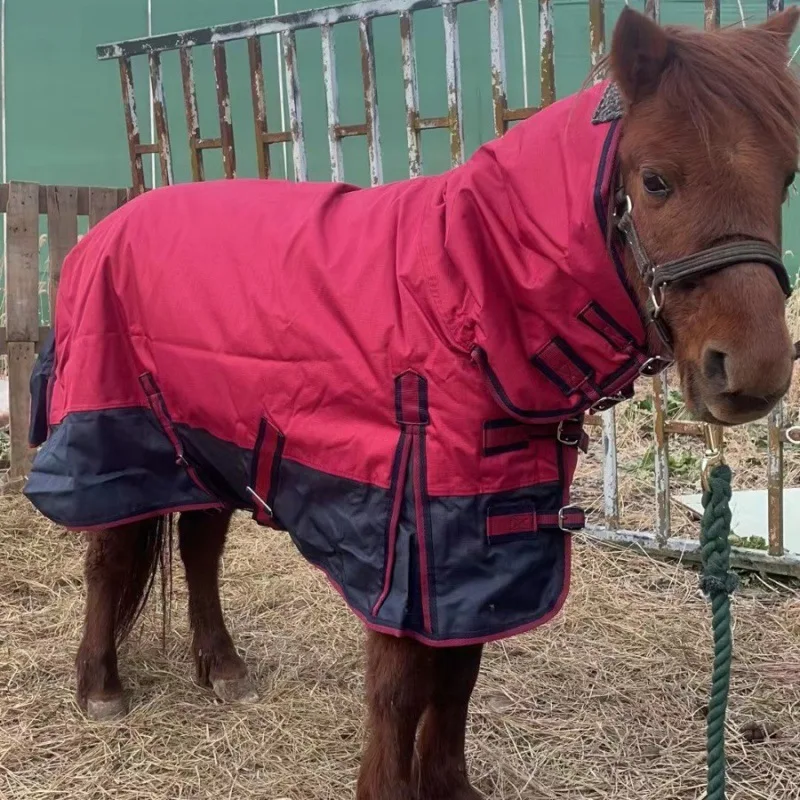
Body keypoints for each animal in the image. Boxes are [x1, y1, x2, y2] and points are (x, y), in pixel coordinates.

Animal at [22, 7, 800, 800]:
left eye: (785, 177)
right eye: (656, 179)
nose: (754, 372)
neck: (463, 296)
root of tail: (108, 228)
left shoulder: (480, 549)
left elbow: (458, 675)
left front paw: (449, 785)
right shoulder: (405, 541)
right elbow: (400, 688)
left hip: (211, 440)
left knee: (200, 547)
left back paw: (224, 667)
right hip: (117, 435)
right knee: (110, 556)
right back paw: (101, 686)